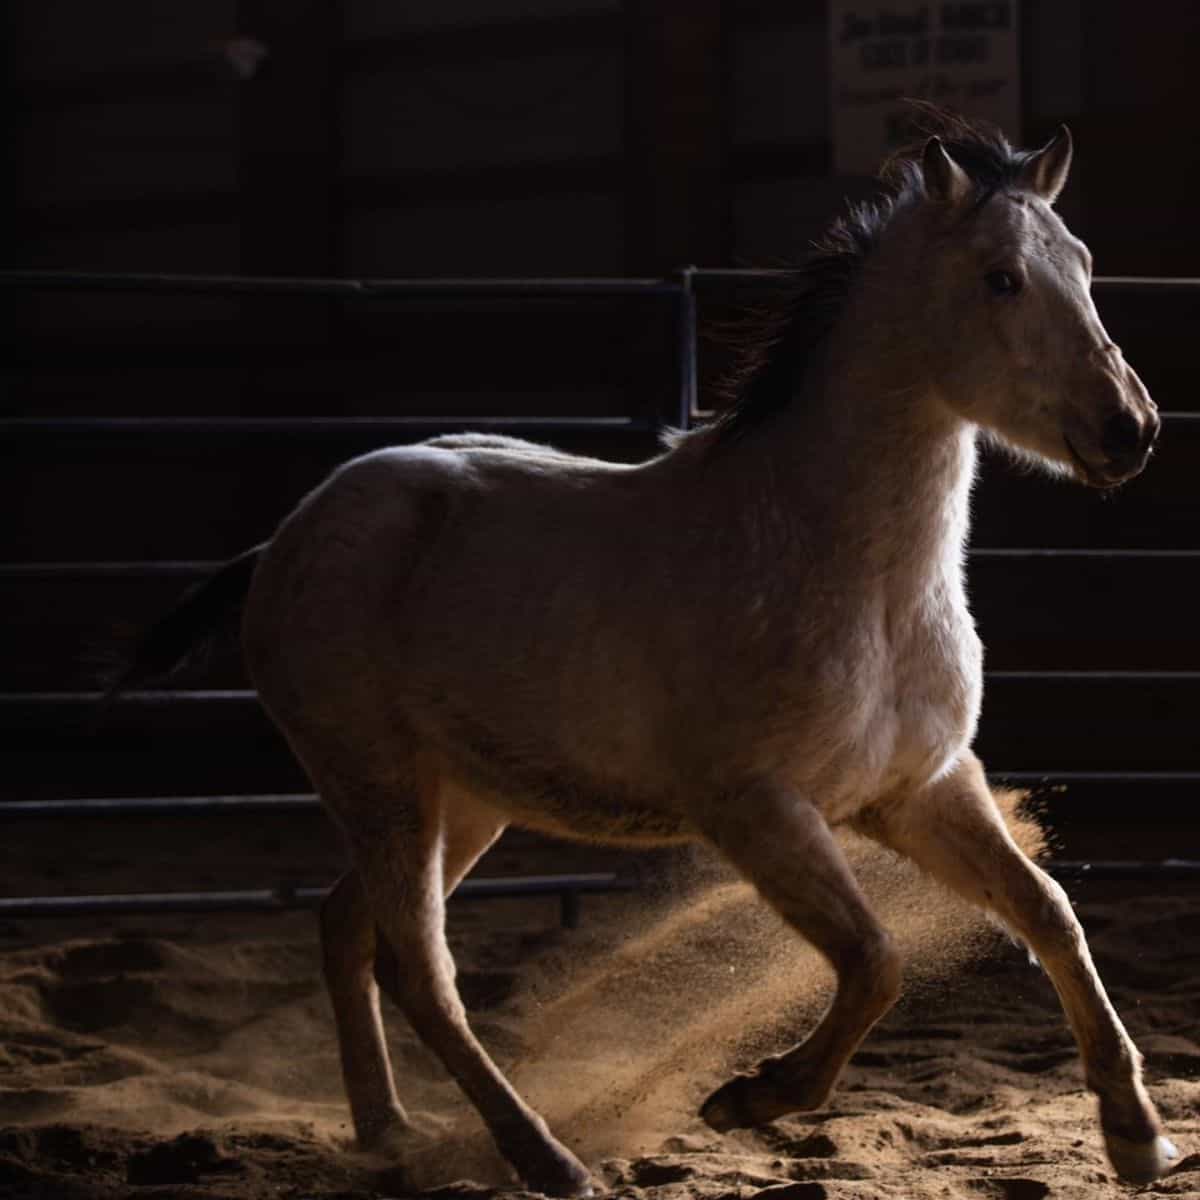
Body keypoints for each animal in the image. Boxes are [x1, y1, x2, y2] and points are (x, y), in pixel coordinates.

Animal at [121, 110, 1171, 1190]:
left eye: (1084, 265)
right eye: (1001, 278)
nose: (1128, 428)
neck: (849, 573)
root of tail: (290, 535)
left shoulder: (921, 788)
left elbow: (1048, 912)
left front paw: (1138, 1135)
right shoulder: (756, 809)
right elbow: (875, 959)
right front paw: (747, 1098)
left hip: (459, 799)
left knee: (345, 927)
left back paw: (388, 1131)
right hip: (379, 784)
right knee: (421, 968)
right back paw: (544, 1156)